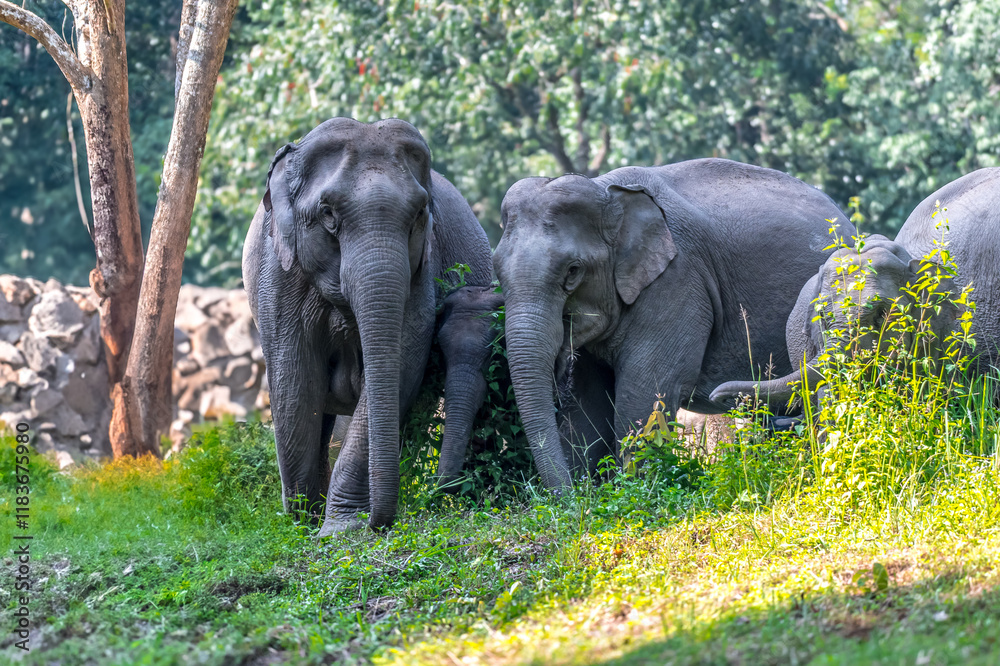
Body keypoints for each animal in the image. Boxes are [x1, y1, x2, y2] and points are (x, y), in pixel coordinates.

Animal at [242, 118, 492, 533]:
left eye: (420, 214)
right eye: (328, 214)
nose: (380, 523)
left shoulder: (422, 272)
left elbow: (404, 364)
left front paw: (340, 528)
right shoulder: (278, 275)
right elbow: (294, 383)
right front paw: (303, 525)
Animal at [493, 158, 854, 490]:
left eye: (572, 271)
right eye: (497, 272)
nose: (562, 496)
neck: (606, 190)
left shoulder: (678, 280)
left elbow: (643, 392)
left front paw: (637, 489)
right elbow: (588, 402)